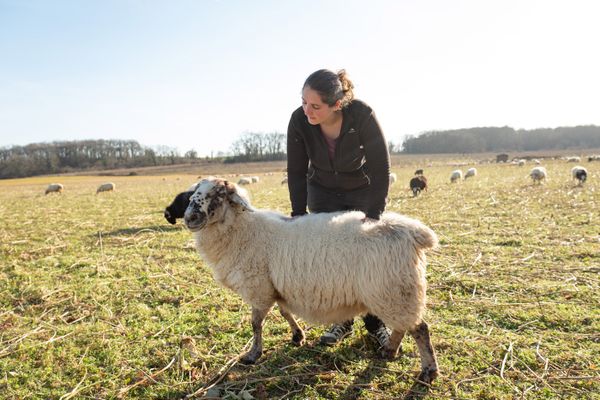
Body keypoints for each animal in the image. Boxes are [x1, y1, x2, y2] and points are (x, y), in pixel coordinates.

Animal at [183, 179, 440, 384]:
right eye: (194, 193)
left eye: (218, 194)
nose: (189, 218)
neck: (242, 229)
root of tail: (413, 232)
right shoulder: (276, 287)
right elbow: (284, 311)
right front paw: (297, 336)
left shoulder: (258, 287)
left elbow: (256, 324)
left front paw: (253, 355)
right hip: (393, 292)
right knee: (404, 325)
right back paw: (390, 351)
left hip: (392, 289)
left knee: (419, 328)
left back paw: (428, 370)